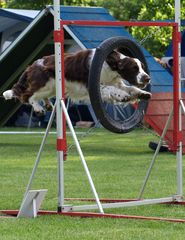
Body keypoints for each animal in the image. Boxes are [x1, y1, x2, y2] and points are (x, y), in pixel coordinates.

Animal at [2, 48, 151, 113]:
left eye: (142, 67)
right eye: (134, 68)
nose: (147, 78)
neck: (111, 65)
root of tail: (32, 65)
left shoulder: (116, 81)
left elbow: (130, 88)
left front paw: (143, 94)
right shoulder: (92, 86)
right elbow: (111, 89)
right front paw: (123, 96)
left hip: (53, 87)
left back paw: (48, 104)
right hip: (45, 84)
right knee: (27, 96)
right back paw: (38, 108)